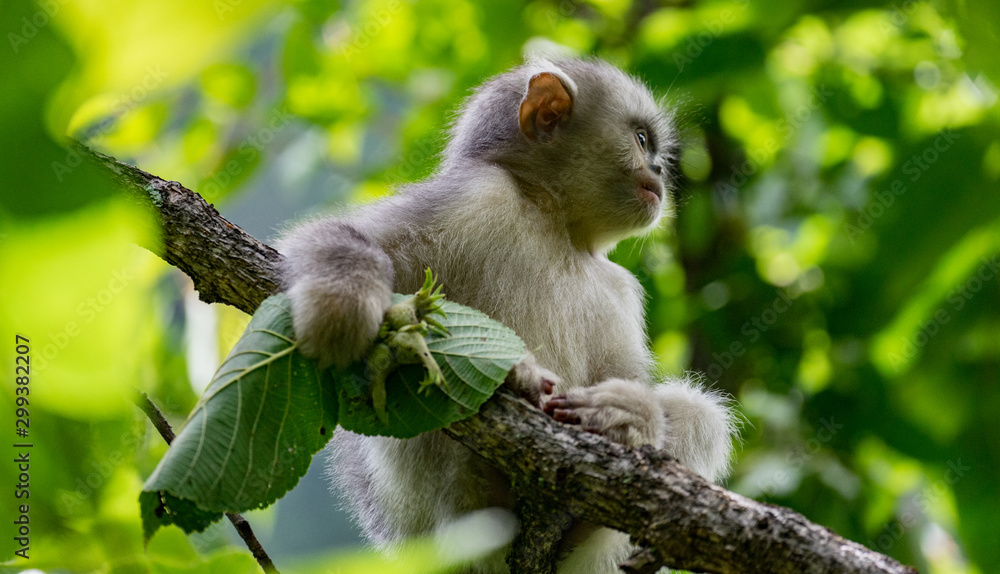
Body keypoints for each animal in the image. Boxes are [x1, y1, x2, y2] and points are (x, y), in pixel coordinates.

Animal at [278, 57, 739, 573]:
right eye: (641, 140)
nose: (658, 169)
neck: (554, 222)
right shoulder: (478, 196)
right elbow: (348, 239)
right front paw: (343, 301)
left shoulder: (619, 289)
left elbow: (624, 378)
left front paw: (629, 415)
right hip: (421, 512)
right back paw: (513, 386)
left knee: (701, 415)